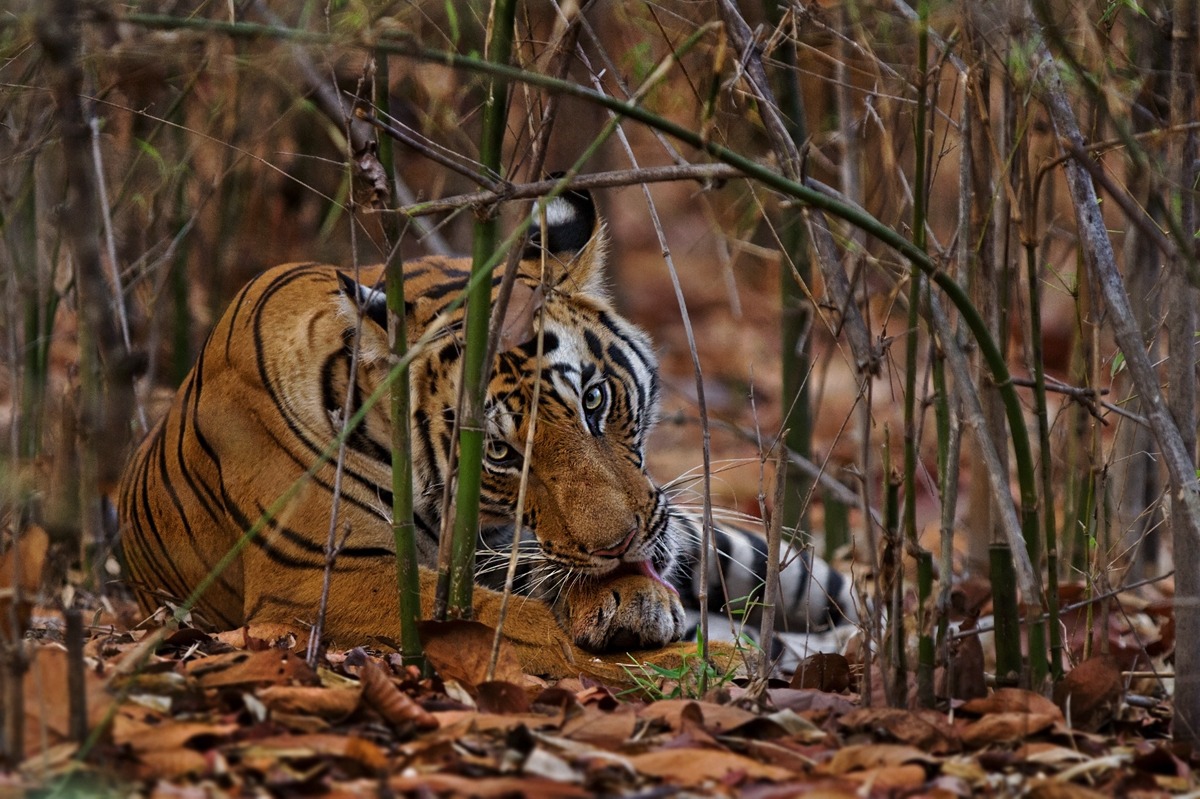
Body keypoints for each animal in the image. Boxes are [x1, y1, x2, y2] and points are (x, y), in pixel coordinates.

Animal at [117, 185, 857, 680]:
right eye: (499, 452)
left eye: (594, 399)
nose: (619, 545)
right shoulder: (317, 579)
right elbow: (527, 627)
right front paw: (682, 654)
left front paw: (638, 606)